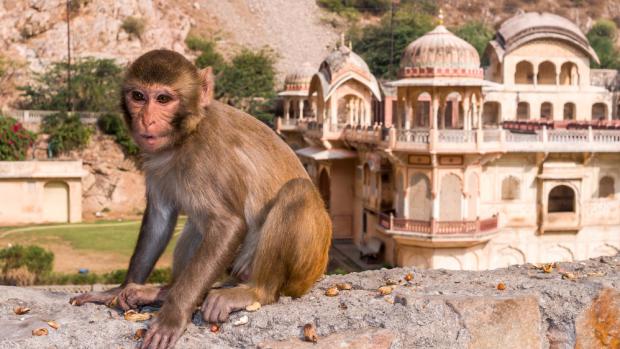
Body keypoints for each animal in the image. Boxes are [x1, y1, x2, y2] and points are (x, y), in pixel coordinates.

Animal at [69, 49, 332, 348]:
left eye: (163, 99)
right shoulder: (156, 161)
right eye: (138, 96)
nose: (146, 120)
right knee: (196, 224)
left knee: (297, 192)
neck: (185, 136)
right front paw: (119, 290)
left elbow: (228, 224)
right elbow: (160, 219)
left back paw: (254, 292)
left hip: (303, 267)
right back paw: (162, 291)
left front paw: (174, 315)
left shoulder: (208, 156)